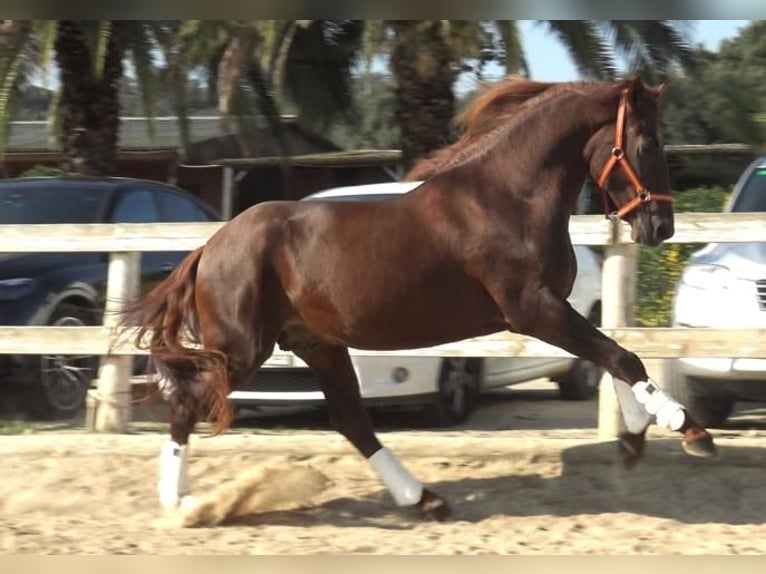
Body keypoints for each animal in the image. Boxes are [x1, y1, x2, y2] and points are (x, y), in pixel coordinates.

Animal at [127, 79, 720, 524]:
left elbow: (612, 356)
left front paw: (636, 438)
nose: (661, 226)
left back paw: (425, 499)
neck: (509, 197)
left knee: (351, 421)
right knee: (187, 405)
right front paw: (688, 429)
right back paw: (179, 504)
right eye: (648, 141)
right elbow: (622, 356)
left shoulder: (548, 310)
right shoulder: (531, 308)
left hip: (316, 344)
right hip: (243, 349)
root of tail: (210, 246)